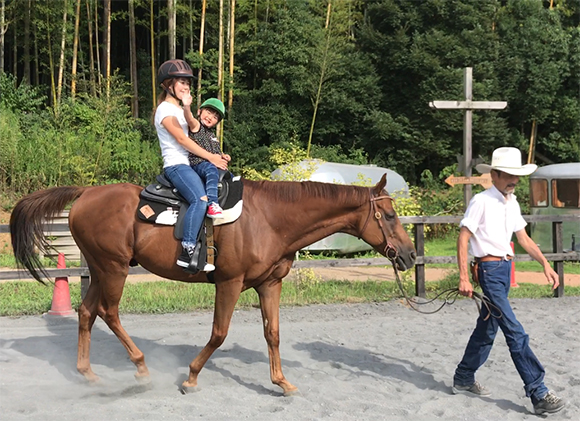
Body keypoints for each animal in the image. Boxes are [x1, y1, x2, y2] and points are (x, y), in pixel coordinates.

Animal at [10, 173, 416, 394]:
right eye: (389, 215)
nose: (410, 255)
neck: (269, 218)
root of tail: (86, 193)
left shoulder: (269, 285)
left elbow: (273, 333)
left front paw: (281, 381)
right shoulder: (230, 282)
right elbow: (219, 333)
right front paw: (190, 377)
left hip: (99, 268)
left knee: (86, 312)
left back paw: (88, 373)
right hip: (113, 268)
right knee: (108, 312)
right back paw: (140, 367)